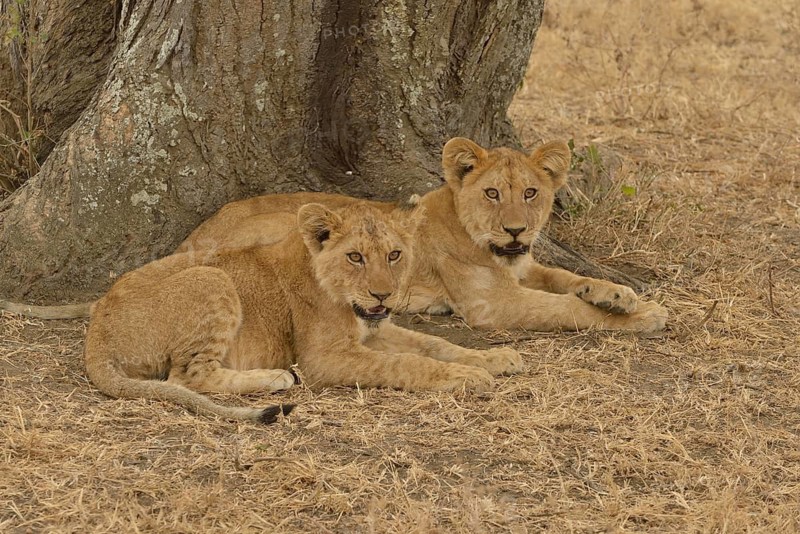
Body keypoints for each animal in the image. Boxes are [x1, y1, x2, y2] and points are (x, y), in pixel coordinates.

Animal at [83, 202, 523, 423]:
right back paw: (274, 377)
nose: (383, 295)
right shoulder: (323, 358)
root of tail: (96, 334)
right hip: (212, 277)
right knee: (187, 377)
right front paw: (467, 377)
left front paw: (497, 358)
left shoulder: (375, 328)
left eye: (395, 255)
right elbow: (405, 363)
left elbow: (434, 343)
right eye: (355, 257)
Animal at [176, 138, 668, 333]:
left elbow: (566, 280)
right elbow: (566, 307)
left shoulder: (524, 267)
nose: (515, 229)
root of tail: (192, 236)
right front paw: (646, 313)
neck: (497, 252)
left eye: (531, 193)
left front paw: (617, 293)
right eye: (492, 193)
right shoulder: (494, 304)